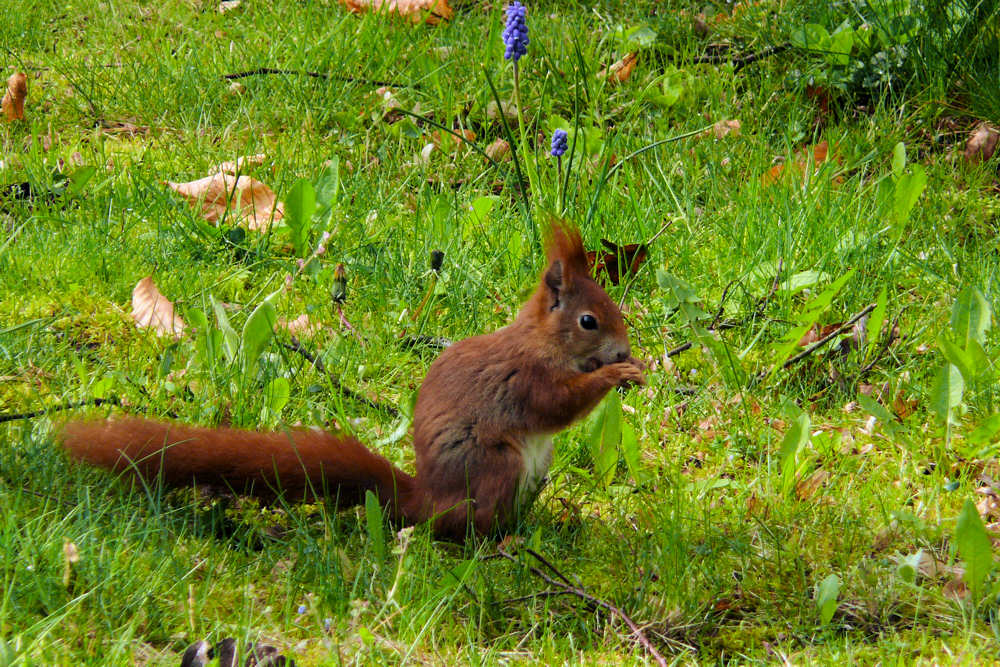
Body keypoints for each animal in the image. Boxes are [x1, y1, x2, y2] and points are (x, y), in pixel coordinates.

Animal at [62, 227, 644, 540]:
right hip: (495, 463)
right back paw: (500, 540)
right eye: (589, 321)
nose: (622, 349)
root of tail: (426, 498)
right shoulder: (525, 378)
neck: (544, 342)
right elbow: (555, 405)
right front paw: (619, 373)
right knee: (468, 526)